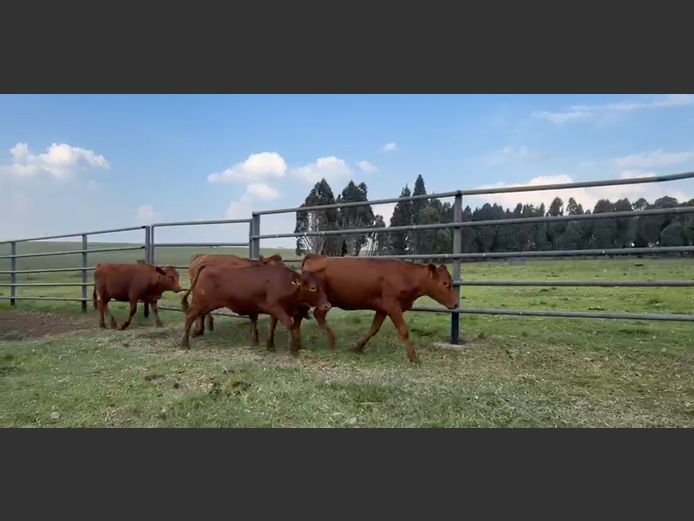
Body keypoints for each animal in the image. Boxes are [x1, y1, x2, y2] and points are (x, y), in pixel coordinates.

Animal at [180, 262, 330, 352]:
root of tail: (208, 265)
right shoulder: (276, 308)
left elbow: (272, 326)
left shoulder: (276, 311)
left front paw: (270, 345)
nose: (327, 305)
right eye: (313, 287)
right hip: (200, 304)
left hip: (205, 306)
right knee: (189, 317)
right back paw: (185, 343)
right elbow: (290, 325)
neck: (285, 282)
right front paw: (292, 347)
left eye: (322, 286)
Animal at [299, 254, 459, 364]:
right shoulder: (393, 307)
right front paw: (414, 357)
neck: (405, 275)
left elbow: (373, 329)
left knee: (317, 314)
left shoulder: (383, 309)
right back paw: (329, 340)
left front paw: (357, 347)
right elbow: (403, 331)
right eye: (445, 283)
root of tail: (317, 257)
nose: (456, 304)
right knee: (317, 314)